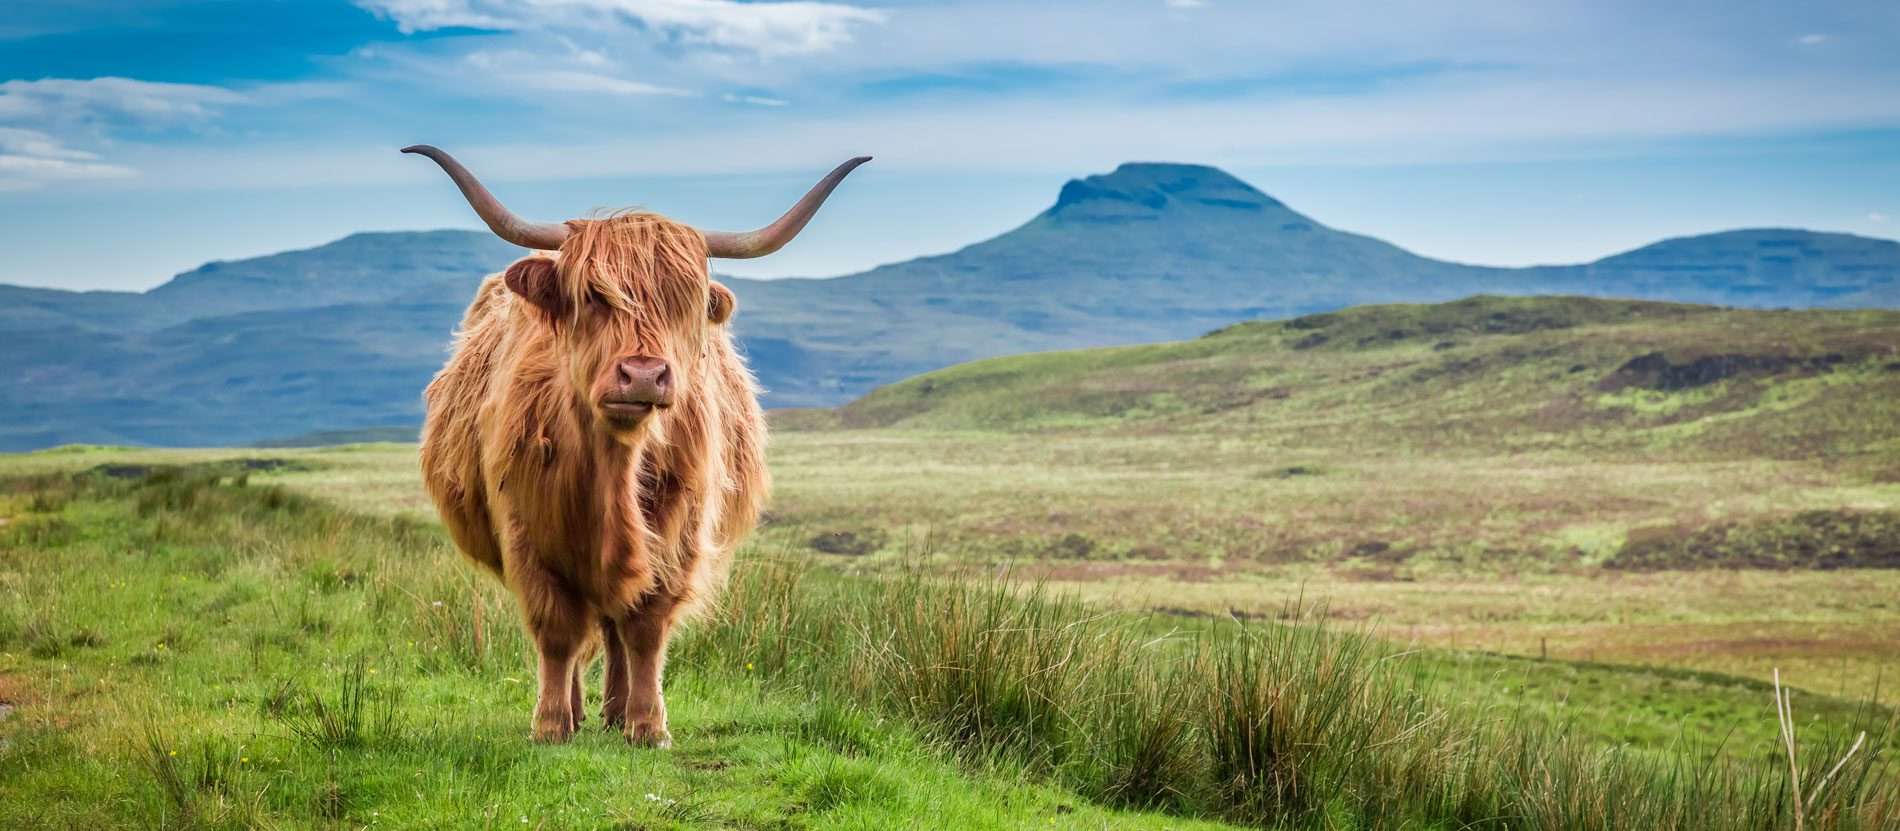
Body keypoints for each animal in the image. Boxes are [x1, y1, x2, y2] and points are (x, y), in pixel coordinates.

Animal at [406, 145, 868, 746]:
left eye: (684, 303)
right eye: (592, 297)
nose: (644, 375)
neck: (613, 469)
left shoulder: (678, 534)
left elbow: (645, 627)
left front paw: (648, 726)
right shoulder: (526, 533)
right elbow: (557, 631)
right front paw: (551, 724)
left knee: (614, 625)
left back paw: (616, 709)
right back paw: (581, 710)